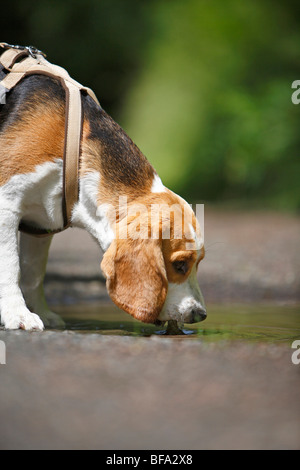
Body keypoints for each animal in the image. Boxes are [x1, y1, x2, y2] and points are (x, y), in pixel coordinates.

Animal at [0, 49, 206, 328]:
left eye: (198, 263)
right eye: (181, 265)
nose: (199, 314)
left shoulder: (41, 226)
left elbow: (33, 273)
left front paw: (41, 312)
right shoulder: (6, 204)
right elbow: (11, 266)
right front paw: (17, 314)